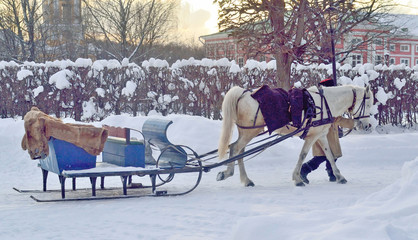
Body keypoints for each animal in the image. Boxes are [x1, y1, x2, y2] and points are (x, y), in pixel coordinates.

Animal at [217, 85, 374, 187]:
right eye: (368, 104)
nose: (366, 125)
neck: (325, 104)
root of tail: (243, 93)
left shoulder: (321, 135)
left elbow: (329, 155)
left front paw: (339, 176)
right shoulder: (311, 137)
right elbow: (303, 155)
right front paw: (298, 179)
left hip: (246, 132)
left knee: (239, 152)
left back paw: (246, 180)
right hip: (250, 132)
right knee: (234, 148)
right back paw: (227, 173)